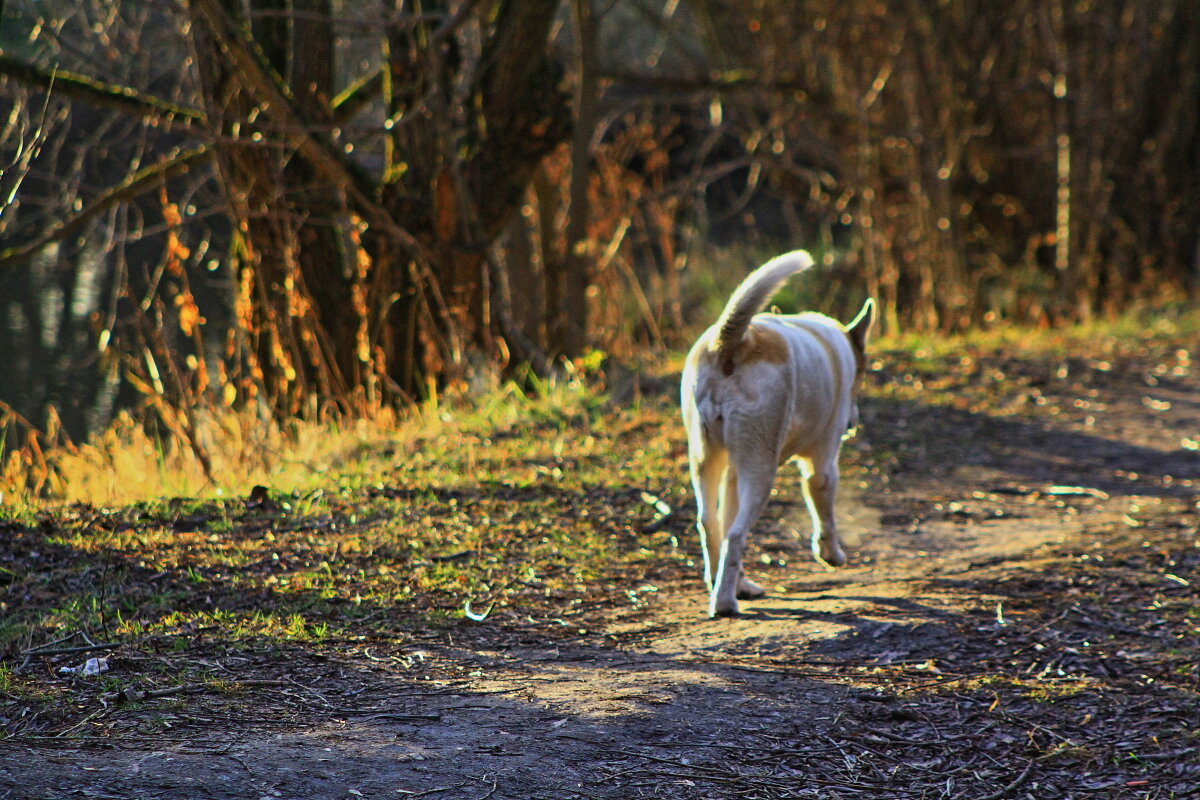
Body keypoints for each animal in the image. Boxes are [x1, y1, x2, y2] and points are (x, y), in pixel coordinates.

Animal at [686, 251, 873, 618]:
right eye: (859, 379)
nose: (854, 423)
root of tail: (731, 341)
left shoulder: (733, 474)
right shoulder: (822, 464)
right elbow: (825, 512)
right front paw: (831, 555)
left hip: (706, 459)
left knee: (711, 524)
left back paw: (732, 586)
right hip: (761, 470)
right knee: (736, 534)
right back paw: (725, 603)